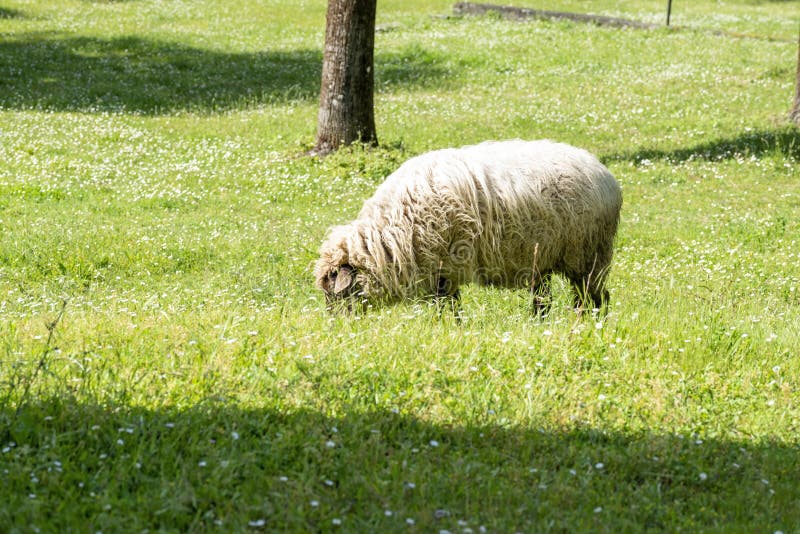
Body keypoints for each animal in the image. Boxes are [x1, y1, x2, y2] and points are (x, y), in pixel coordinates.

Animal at [314, 139, 622, 314]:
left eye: (336, 292)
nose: (336, 323)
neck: (389, 237)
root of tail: (605, 174)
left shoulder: (443, 267)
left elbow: (447, 307)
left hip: (588, 254)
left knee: (594, 297)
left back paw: (587, 322)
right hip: (544, 257)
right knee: (545, 300)